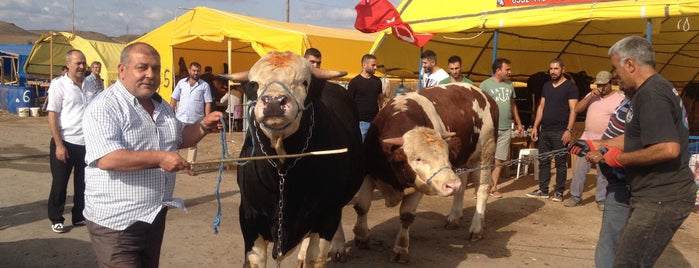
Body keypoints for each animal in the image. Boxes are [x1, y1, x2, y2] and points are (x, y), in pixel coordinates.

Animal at [346, 82, 498, 262]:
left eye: (447, 155)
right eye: (418, 159)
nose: (451, 185)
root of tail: (483, 94)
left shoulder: (421, 185)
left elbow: (406, 215)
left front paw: (401, 249)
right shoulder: (369, 171)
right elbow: (362, 206)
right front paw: (361, 237)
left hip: (485, 152)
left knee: (482, 189)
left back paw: (476, 227)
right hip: (464, 160)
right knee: (462, 182)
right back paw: (454, 217)